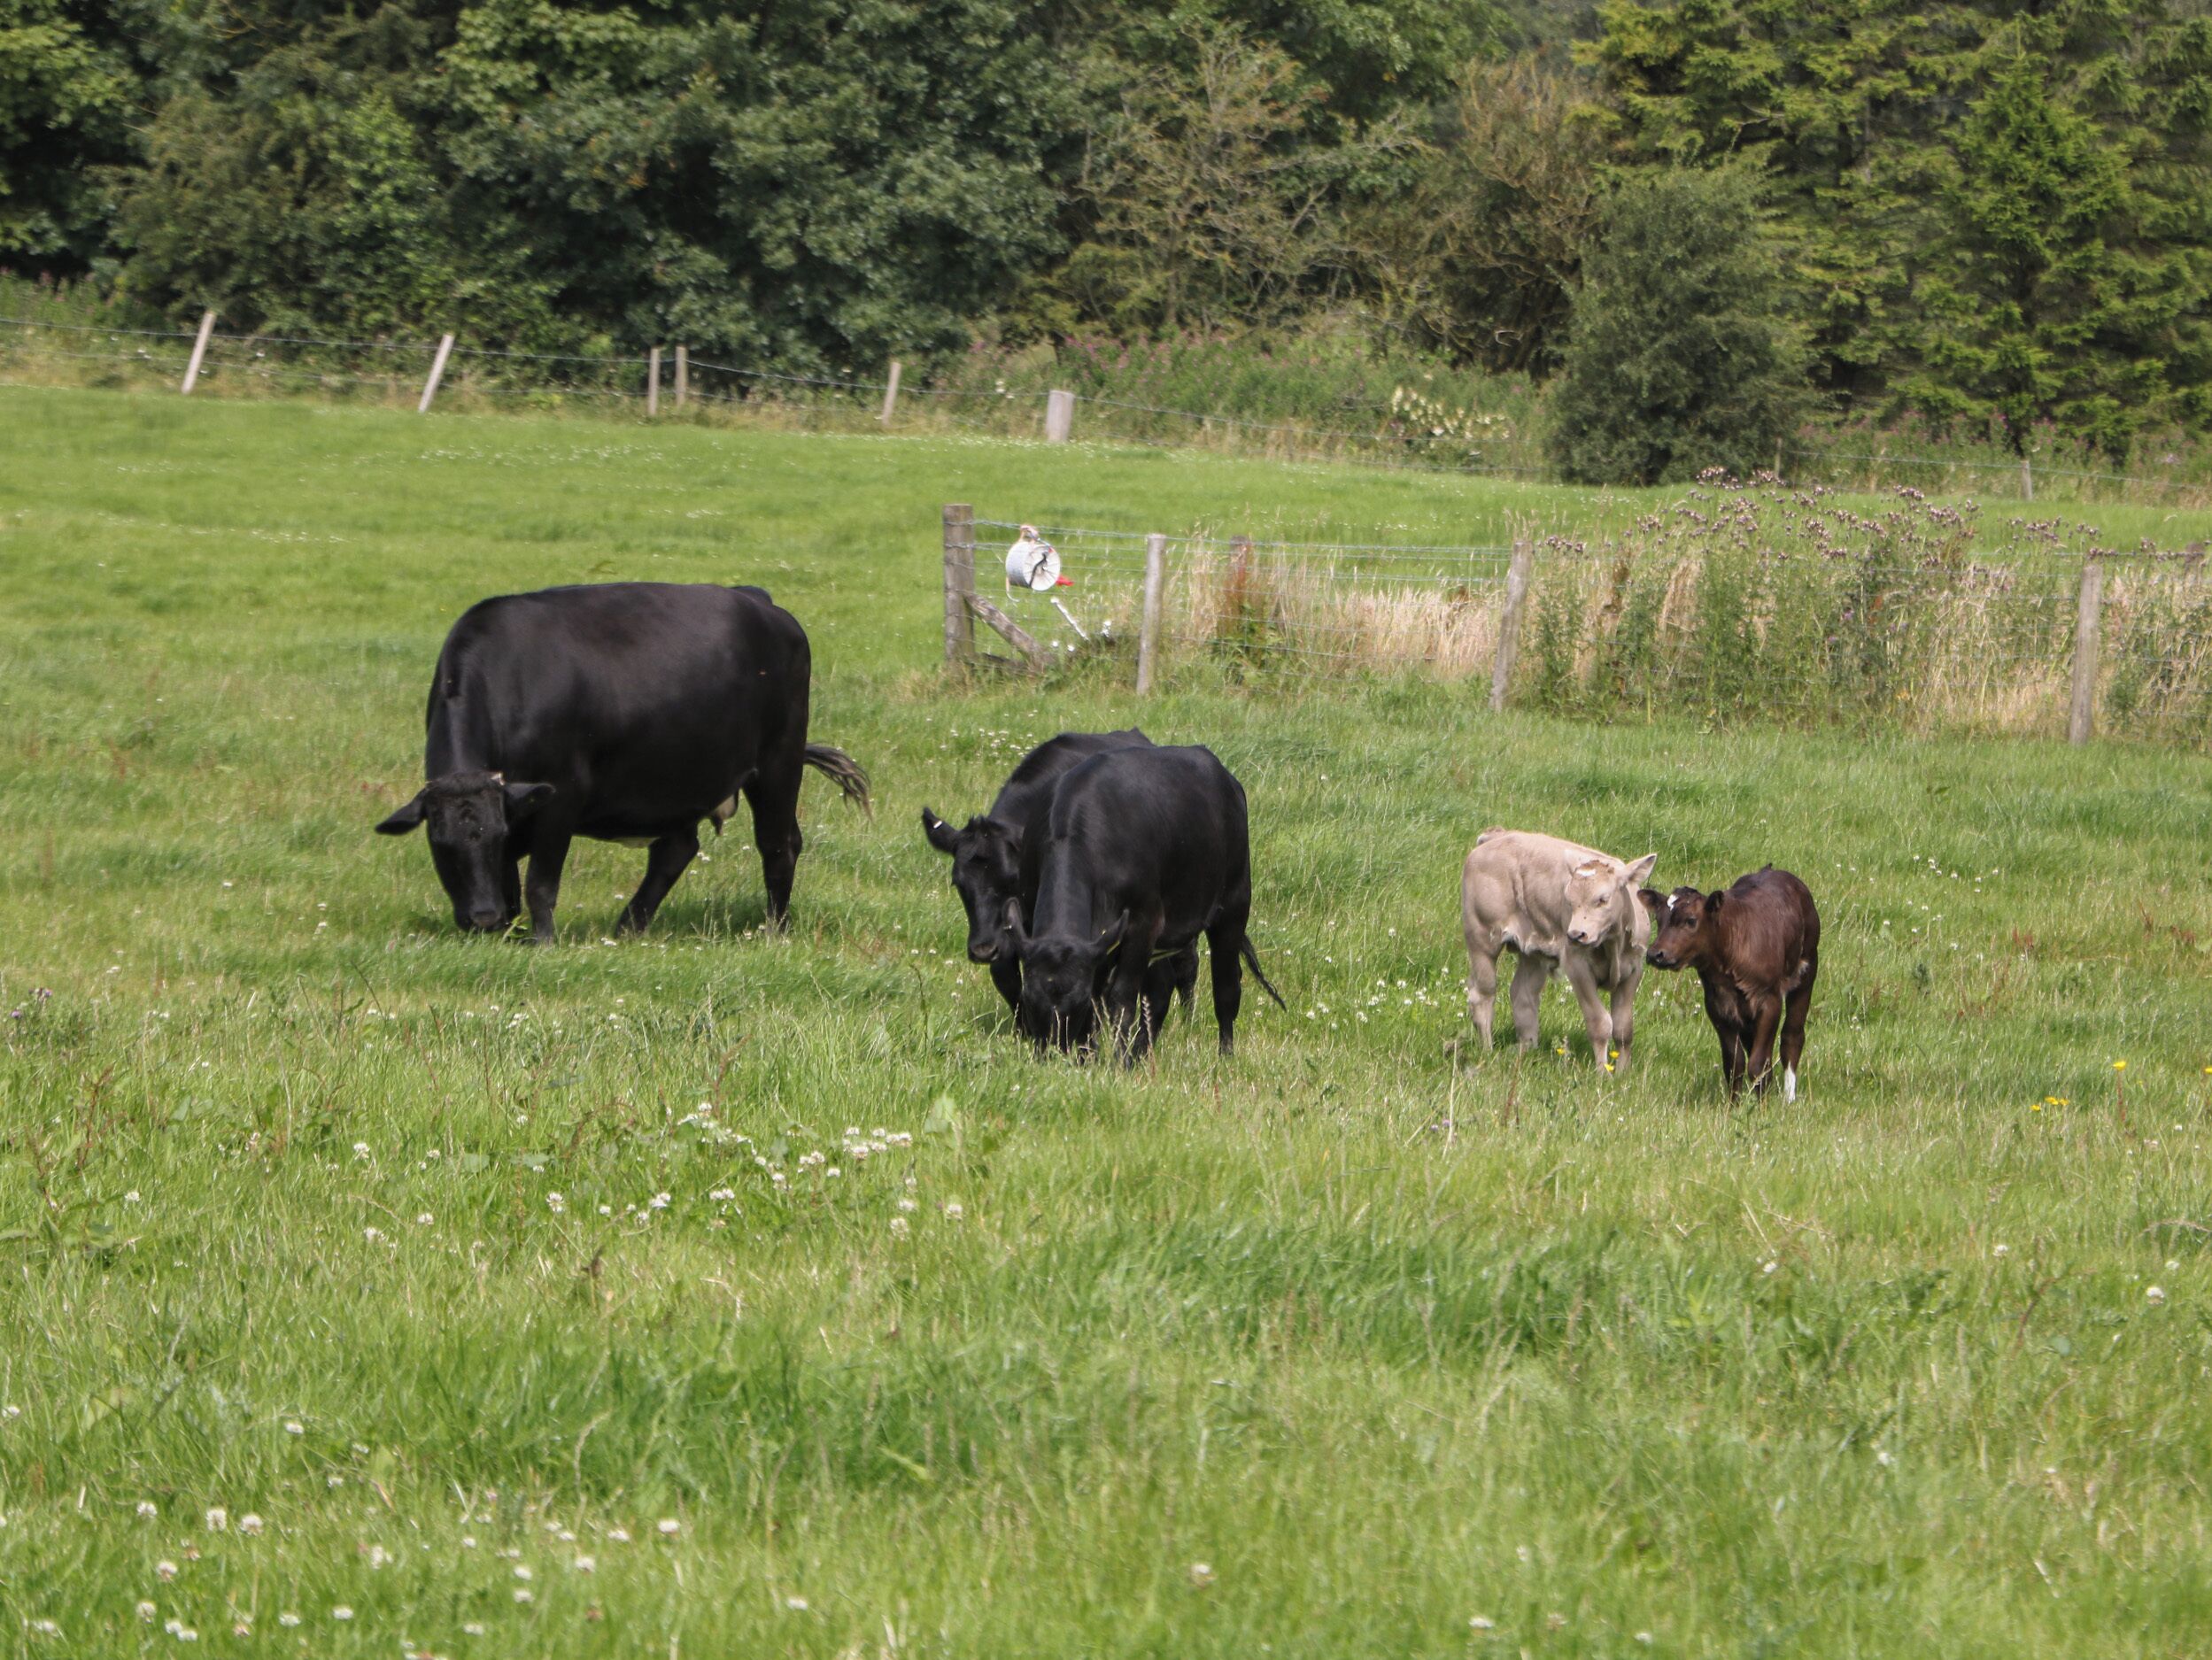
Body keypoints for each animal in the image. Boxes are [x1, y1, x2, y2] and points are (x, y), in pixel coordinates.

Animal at [375, 582, 868, 941]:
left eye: (490, 836)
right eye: (440, 843)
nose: (481, 917)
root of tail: (759, 600)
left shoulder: (559, 798)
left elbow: (539, 883)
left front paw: (541, 941)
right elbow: (511, 882)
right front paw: (508, 933)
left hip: (778, 762)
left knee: (778, 845)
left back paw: (774, 930)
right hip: (679, 778)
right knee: (676, 850)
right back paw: (629, 927)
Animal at [1000, 745, 1283, 1062]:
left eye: (1078, 1002)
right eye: (1027, 999)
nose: (1052, 1055)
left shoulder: (1142, 925)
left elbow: (1121, 998)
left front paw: (1119, 1061)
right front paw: (1091, 1058)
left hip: (1234, 904)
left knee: (1226, 986)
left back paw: (1225, 1056)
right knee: (1162, 987)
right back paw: (1142, 1052)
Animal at [1462, 829, 1658, 1071]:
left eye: (1603, 899)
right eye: (1569, 900)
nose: (1575, 935)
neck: (1612, 944)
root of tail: (1497, 836)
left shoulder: (1633, 970)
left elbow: (1623, 1029)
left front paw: (1622, 1071)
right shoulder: (1577, 968)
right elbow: (1600, 1023)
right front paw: (1602, 1072)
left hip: (1532, 952)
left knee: (1523, 995)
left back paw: (1528, 1050)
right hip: (1482, 940)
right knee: (1483, 994)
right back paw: (1488, 1051)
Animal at [1639, 867, 1820, 1101]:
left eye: (1690, 920)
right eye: (1659, 920)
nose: (1655, 954)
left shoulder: (1769, 1000)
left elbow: (1758, 1064)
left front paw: (1761, 1105)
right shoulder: (1717, 1006)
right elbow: (1735, 1063)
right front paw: (1734, 1105)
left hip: (1807, 971)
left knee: (1792, 1036)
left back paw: (1788, 1099)